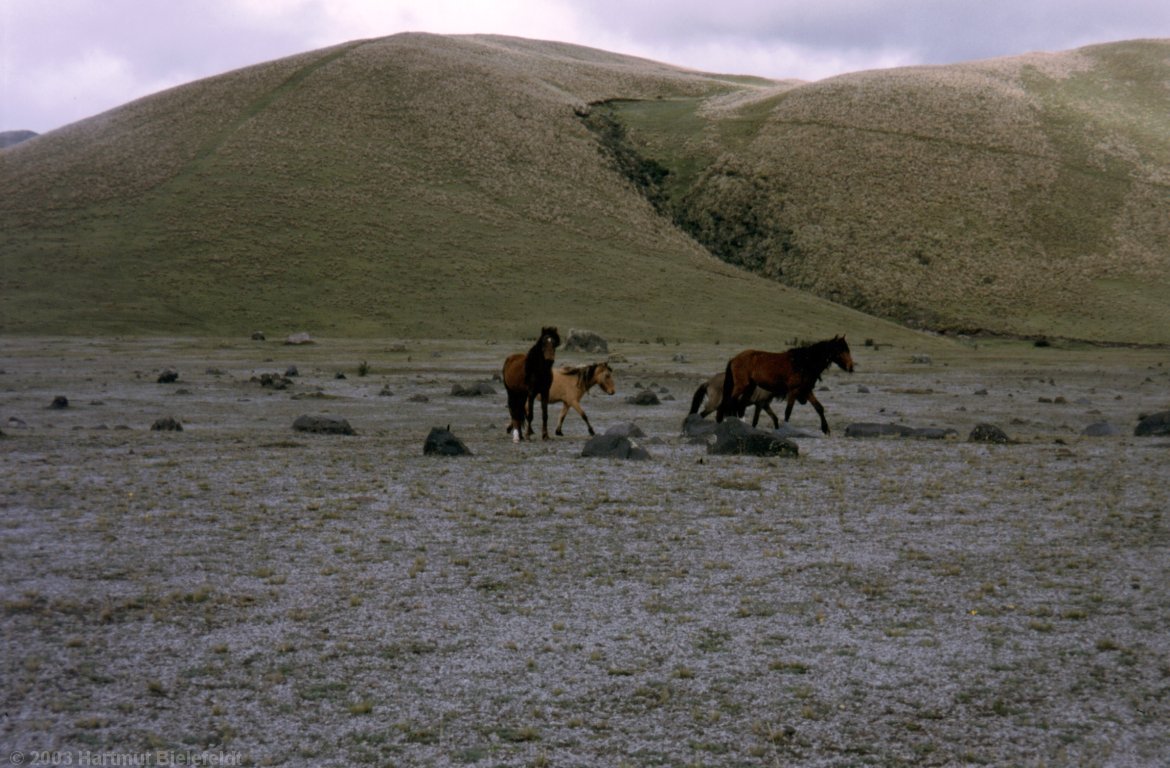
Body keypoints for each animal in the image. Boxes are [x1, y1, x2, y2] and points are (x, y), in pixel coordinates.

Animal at [711, 337, 851, 437]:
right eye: (841, 350)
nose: (850, 366)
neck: (803, 362)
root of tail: (734, 359)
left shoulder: (806, 391)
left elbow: (819, 408)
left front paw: (826, 429)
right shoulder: (794, 391)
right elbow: (788, 411)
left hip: (750, 387)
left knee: (740, 406)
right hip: (741, 386)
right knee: (728, 404)